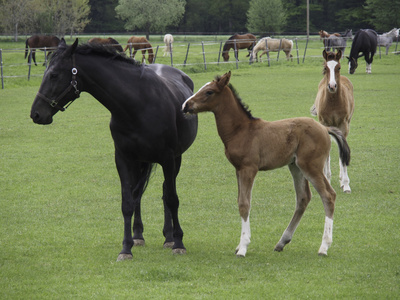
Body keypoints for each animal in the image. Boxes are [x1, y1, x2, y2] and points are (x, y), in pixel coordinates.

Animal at [29, 39, 198, 260]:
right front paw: (126, 248)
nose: (36, 114)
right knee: (138, 196)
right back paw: (138, 236)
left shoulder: (168, 159)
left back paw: (169, 237)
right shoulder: (124, 159)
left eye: (54, 75)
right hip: (141, 162)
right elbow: (127, 202)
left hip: (174, 161)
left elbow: (171, 198)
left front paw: (178, 243)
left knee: (164, 193)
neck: (139, 103)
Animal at [182, 71, 350, 256]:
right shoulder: (238, 169)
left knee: (328, 195)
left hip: (311, 166)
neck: (241, 130)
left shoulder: (249, 168)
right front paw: (240, 245)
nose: (185, 105)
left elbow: (245, 204)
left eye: (209, 92)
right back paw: (282, 242)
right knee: (303, 198)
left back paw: (324, 246)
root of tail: (324, 128)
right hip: (296, 166)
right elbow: (240, 200)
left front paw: (243, 246)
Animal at [310, 50, 354, 193]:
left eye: (338, 67)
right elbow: (327, 151)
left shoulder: (343, 125)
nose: (332, 86)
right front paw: (327, 179)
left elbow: (342, 150)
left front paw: (346, 184)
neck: (333, 102)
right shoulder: (325, 124)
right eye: (325, 68)